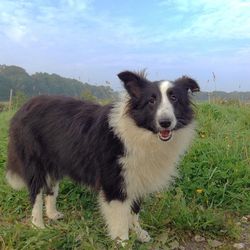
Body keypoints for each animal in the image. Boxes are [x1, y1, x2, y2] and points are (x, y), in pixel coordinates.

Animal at [5, 70, 199, 242]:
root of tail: (23, 107)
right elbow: (120, 217)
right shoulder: (115, 181)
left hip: (55, 161)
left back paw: (52, 215)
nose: (165, 122)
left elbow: (134, 211)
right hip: (35, 162)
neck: (141, 132)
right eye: (151, 100)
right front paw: (123, 241)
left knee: (51, 189)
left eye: (174, 98)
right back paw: (38, 225)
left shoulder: (139, 177)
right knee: (36, 193)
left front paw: (138, 233)